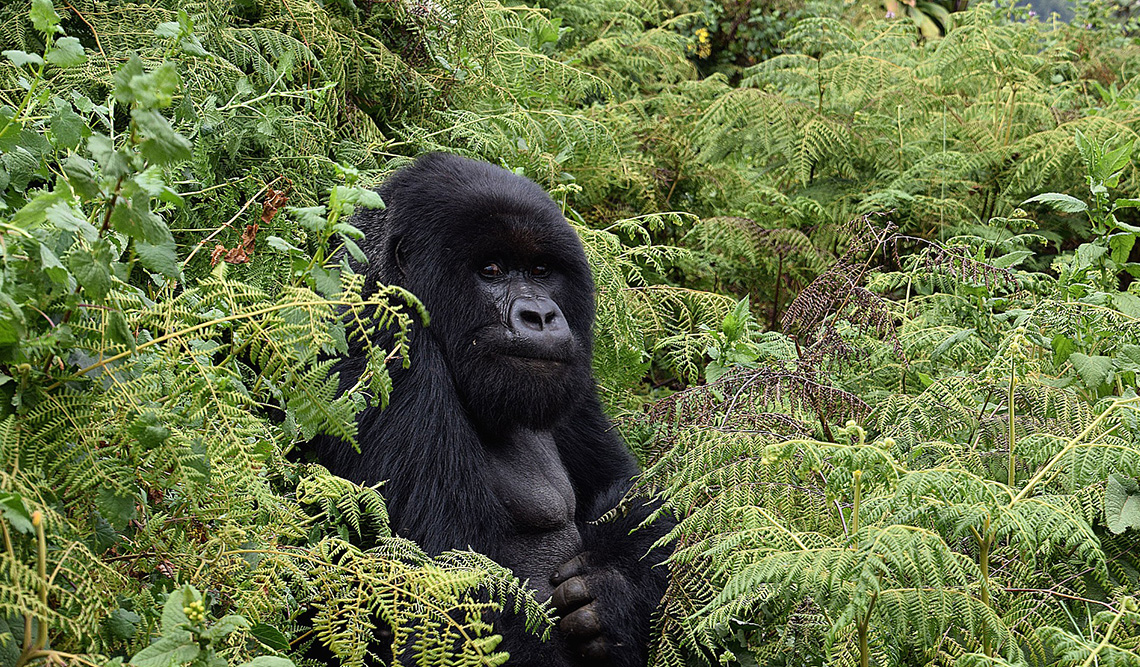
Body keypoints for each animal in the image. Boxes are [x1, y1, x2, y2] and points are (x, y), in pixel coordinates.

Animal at [307, 153, 670, 665]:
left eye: (540, 270)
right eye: (492, 270)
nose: (541, 316)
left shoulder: (572, 378)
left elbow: (638, 497)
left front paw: (616, 589)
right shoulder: (382, 343)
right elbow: (450, 602)